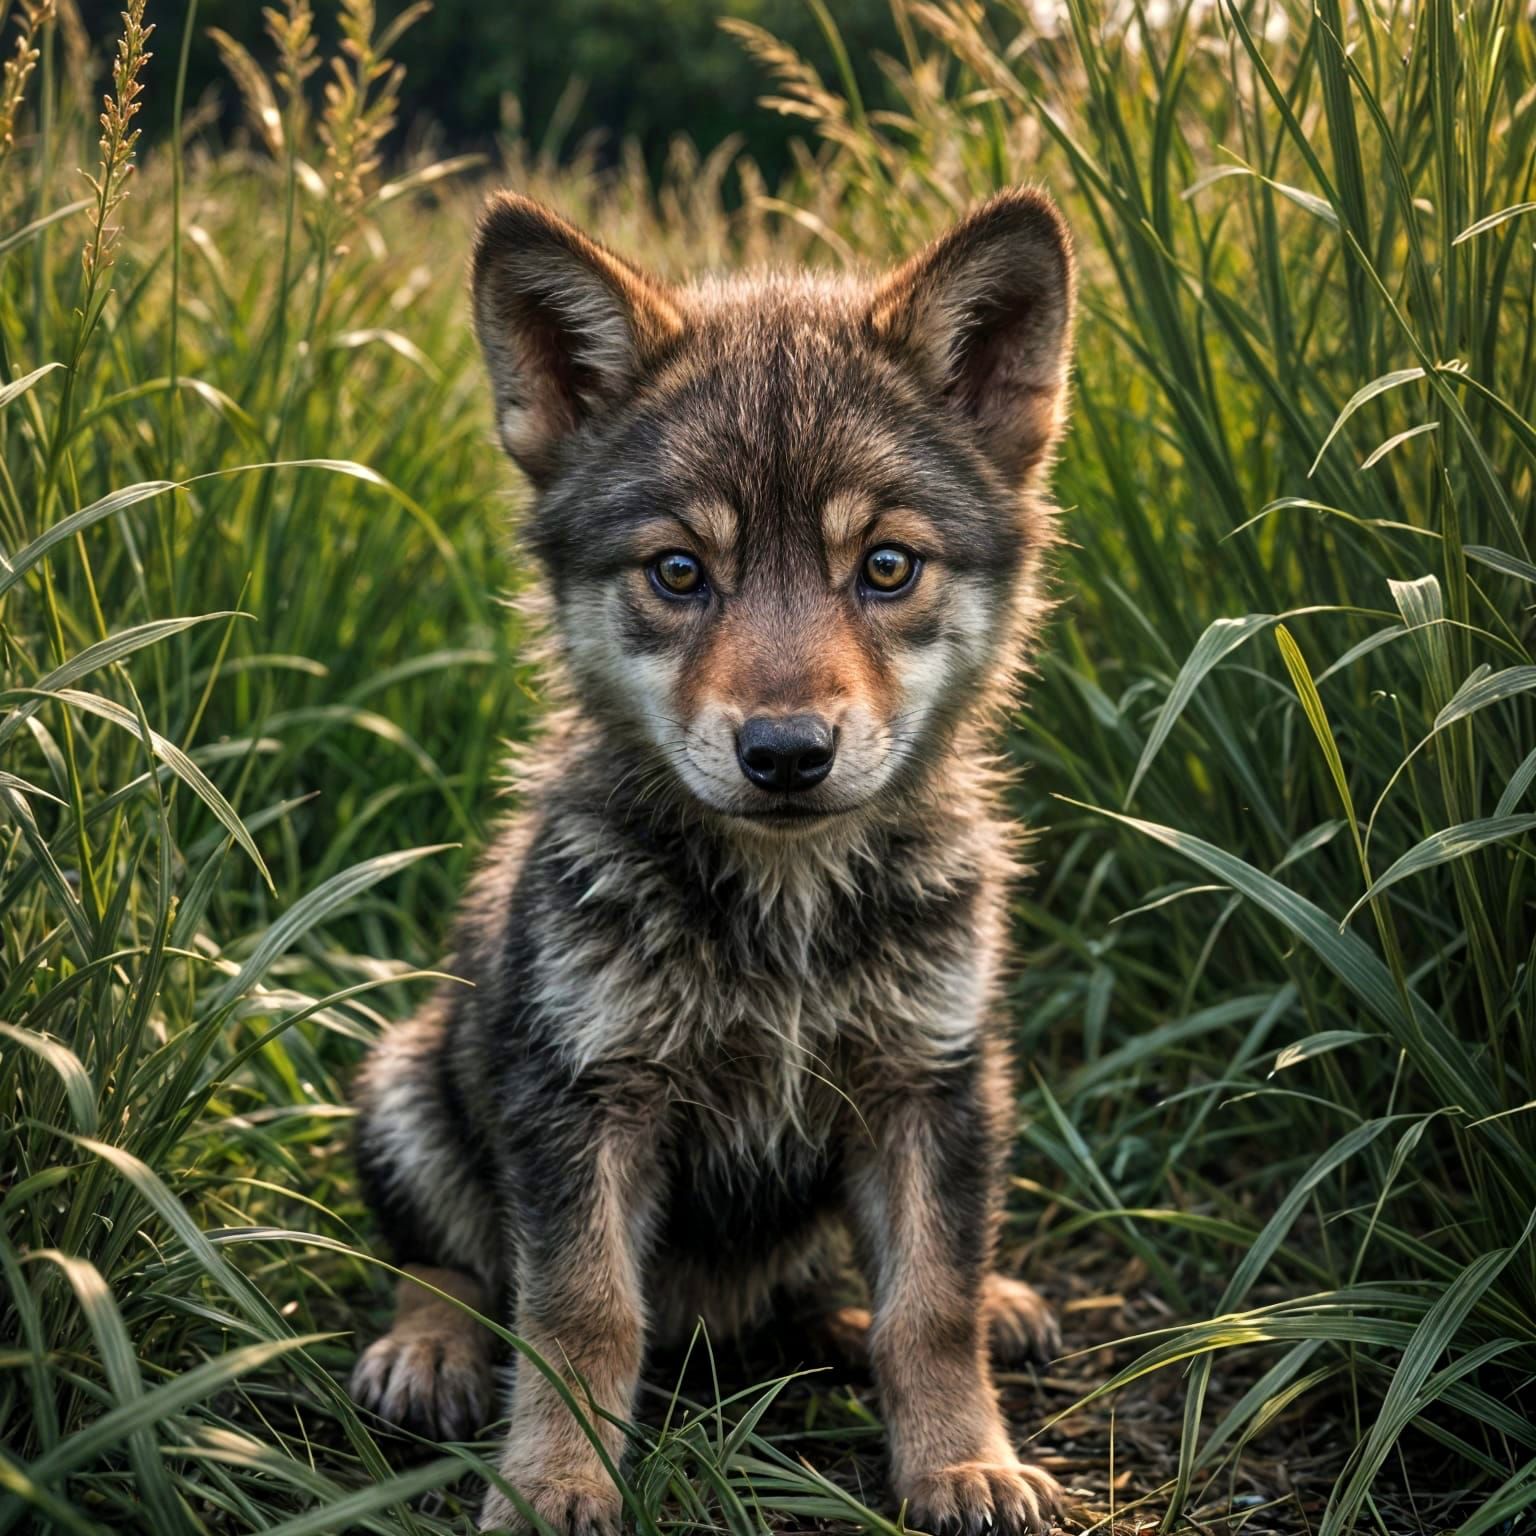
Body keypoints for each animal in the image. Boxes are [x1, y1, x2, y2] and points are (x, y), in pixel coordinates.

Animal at [348, 184, 1076, 1535]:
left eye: (886, 566)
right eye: (679, 573)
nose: (785, 752)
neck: (782, 913)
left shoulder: (932, 1083)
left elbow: (928, 1307)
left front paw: (963, 1460)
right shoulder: (581, 1098)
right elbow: (577, 1313)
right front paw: (552, 1484)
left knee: (845, 1292)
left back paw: (974, 1305)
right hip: (405, 1079)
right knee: (446, 1258)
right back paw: (428, 1350)